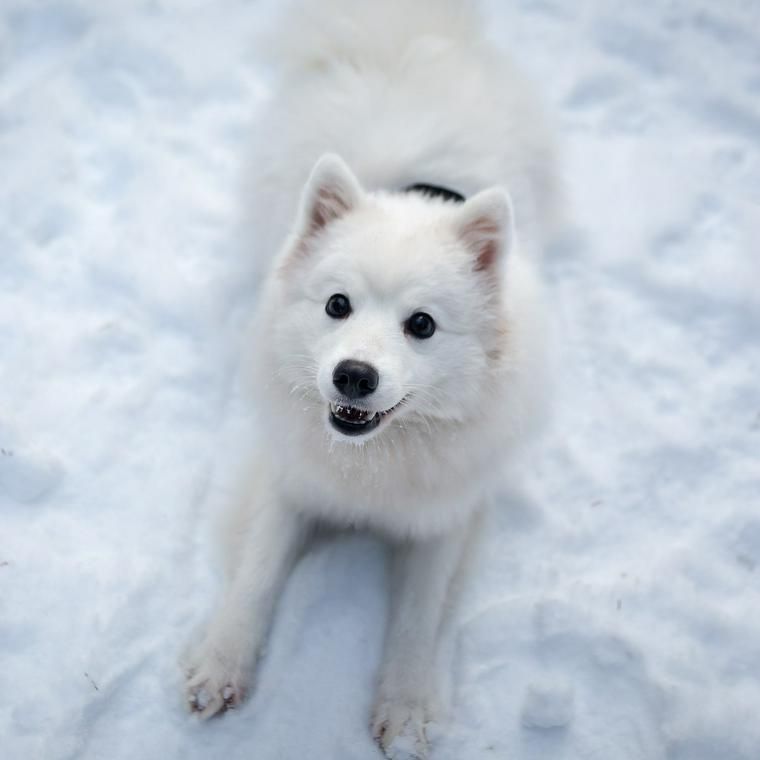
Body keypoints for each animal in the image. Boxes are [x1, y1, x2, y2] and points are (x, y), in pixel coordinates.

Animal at [184, 1, 560, 756]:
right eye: (337, 305)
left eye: (422, 324)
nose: (353, 376)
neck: (373, 462)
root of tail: (406, 37)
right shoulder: (288, 481)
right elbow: (256, 575)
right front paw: (221, 662)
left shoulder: (446, 516)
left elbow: (418, 616)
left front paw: (407, 708)